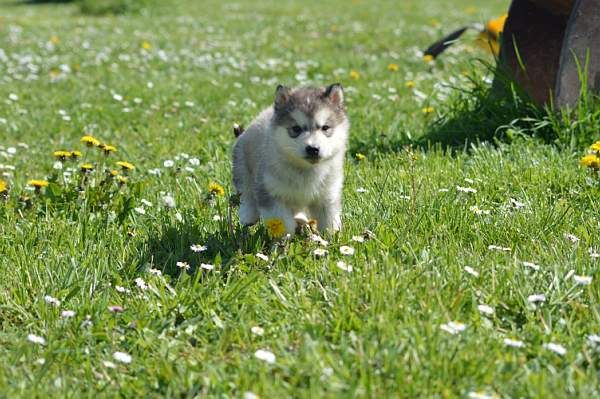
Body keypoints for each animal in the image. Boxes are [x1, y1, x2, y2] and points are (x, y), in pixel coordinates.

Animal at [232, 83, 350, 236]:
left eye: (325, 127)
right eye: (296, 128)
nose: (313, 148)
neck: (305, 170)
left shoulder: (327, 195)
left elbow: (329, 221)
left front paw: (331, 238)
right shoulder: (271, 193)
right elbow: (282, 223)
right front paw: (284, 239)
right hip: (242, 164)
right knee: (246, 192)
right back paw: (248, 215)